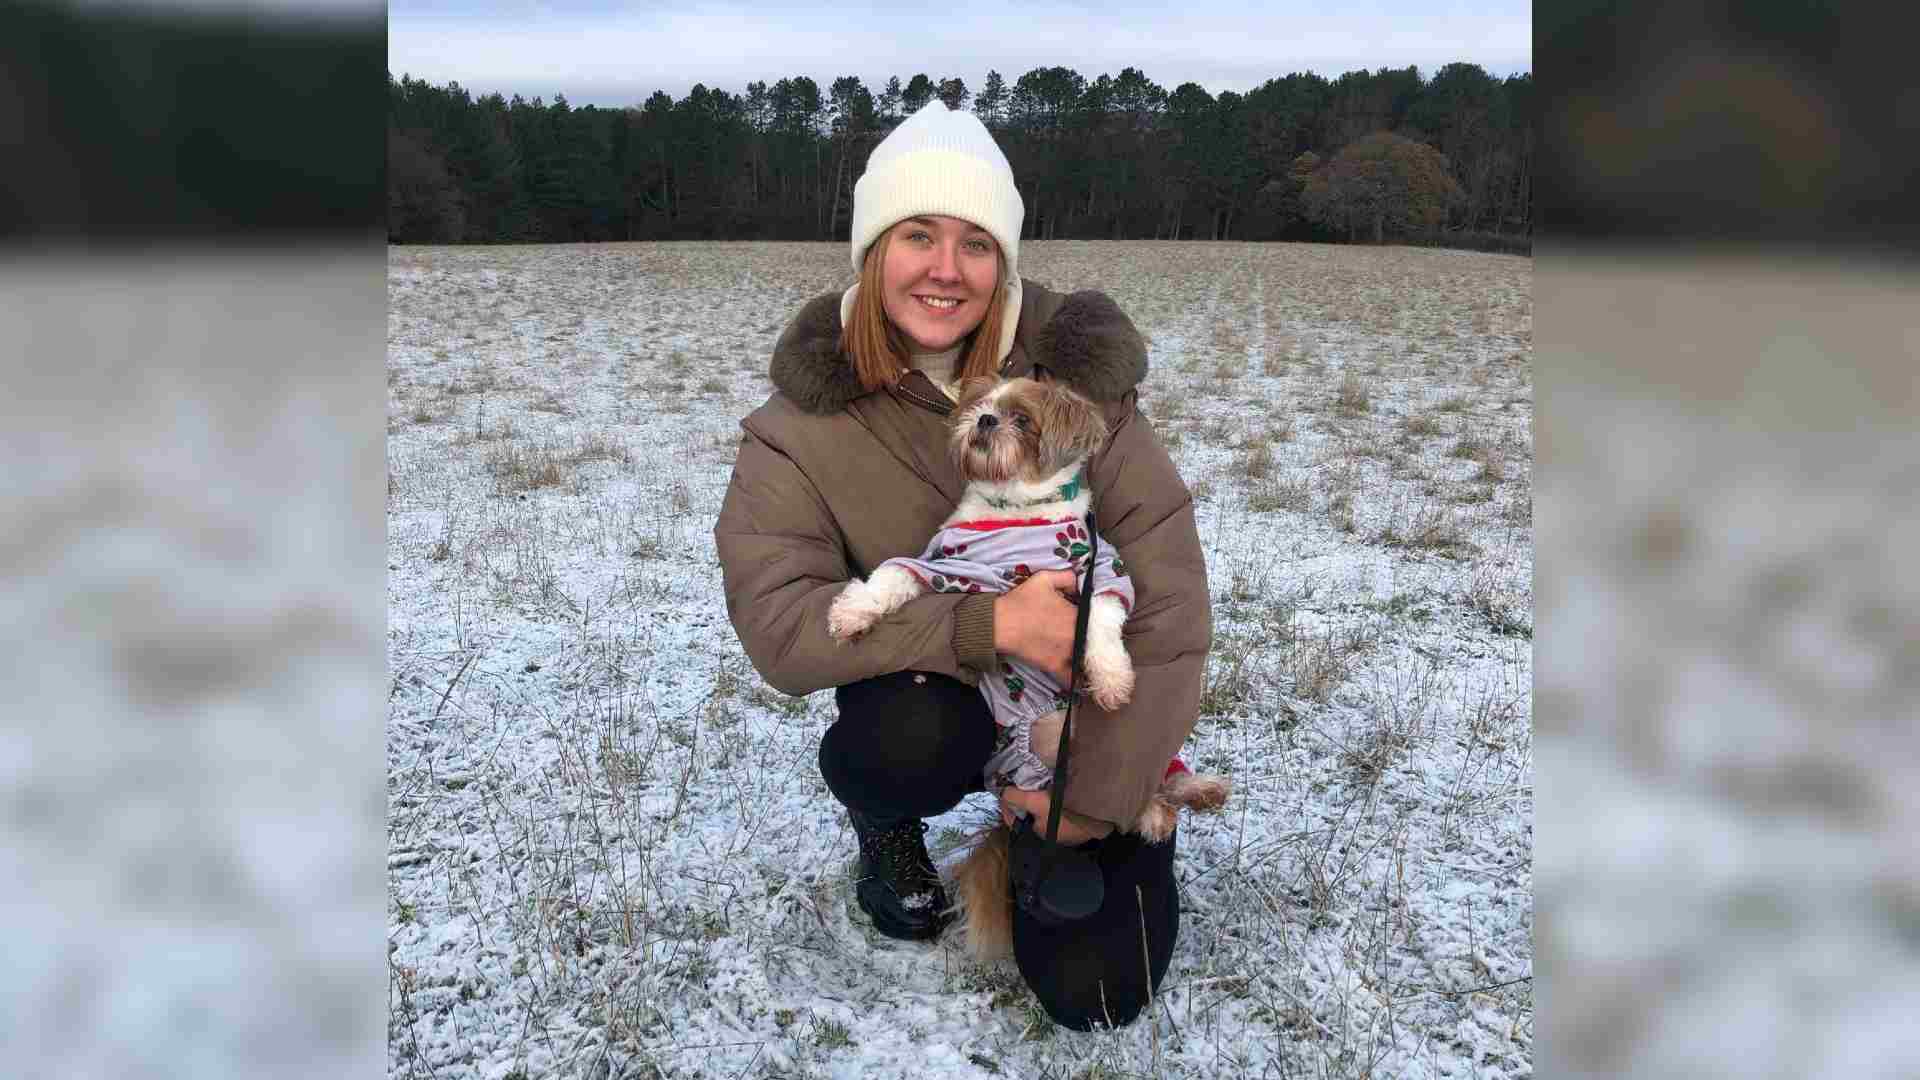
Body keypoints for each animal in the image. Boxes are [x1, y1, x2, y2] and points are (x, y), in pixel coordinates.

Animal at [825, 374, 1228, 953]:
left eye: (1022, 419)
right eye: (980, 405)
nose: (984, 420)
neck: (1016, 514)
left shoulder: (1102, 572)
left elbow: (1103, 623)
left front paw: (1111, 678)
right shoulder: (943, 566)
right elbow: (892, 575)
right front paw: (853, 611)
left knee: (1158, 776)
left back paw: (1190, 794)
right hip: (1043, 739)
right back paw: (1156, 810)